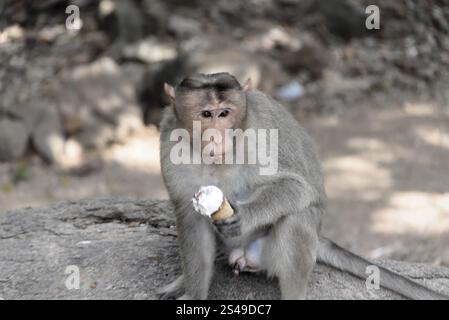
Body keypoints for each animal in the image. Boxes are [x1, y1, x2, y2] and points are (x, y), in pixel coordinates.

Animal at [156, 72, 446, 300]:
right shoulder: (169, 141)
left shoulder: (259, 137)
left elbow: (297, 187)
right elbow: (190, 218)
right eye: (206, 114)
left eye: (224, 113)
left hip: (270, 253)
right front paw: (193, 294)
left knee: (297, 217)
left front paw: (244, 215)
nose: (217, 136)